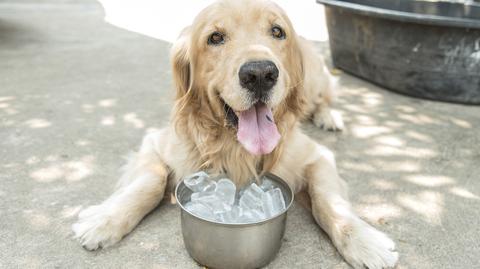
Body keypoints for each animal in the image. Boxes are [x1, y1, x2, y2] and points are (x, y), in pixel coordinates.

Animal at [73, 1, 400, 266]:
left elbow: (328, 200)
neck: (235, 146)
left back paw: (328, 115)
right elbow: (149, 183)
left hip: (316, 80)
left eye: (277, 31)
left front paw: (365, 242)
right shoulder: (154, 142)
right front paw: (104, 219)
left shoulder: (318, 155)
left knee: (324, 98)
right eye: (215, 38)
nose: (260, 74)